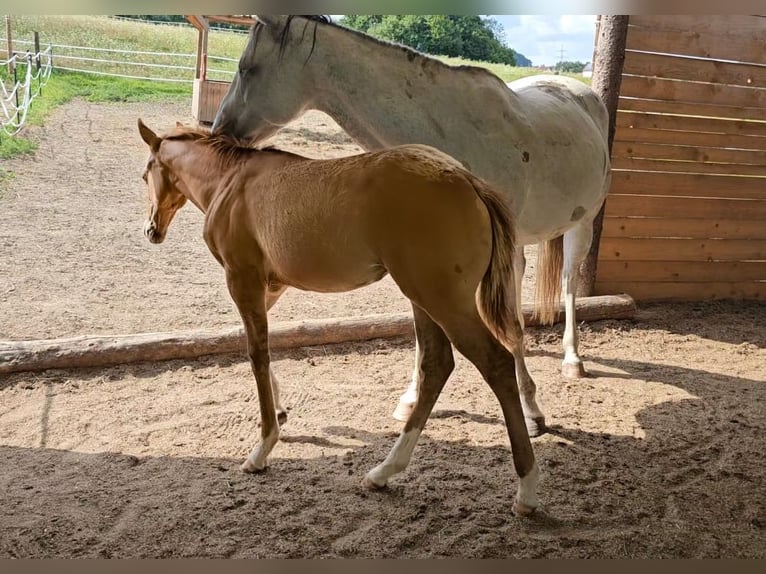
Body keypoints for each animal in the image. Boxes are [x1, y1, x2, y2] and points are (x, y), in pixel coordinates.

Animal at [214, 14, 612, 436]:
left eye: (246, 68)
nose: (219, 129)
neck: (450, 135)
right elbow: (426, 338)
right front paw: (410, 400)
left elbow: (508, 327)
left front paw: (532, 410)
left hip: (579, 227)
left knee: (568, 284)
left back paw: (572, 360)